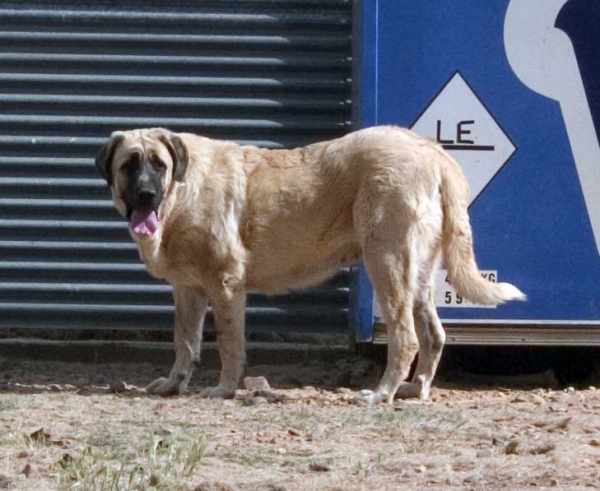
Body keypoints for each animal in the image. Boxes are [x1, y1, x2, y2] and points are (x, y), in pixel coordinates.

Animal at [96, 126, 524, 404]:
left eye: (158, 164)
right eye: (130, 164)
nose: (146, 195)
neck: (182, 191)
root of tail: (433, 151)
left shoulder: (225, 285)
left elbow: (230, 346)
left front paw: (224, 389)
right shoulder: (188, 291)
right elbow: (184, 342)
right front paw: (173, 384)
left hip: (387, 264)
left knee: (406, 338)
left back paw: (381, 393)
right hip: (416, 276)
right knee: (433, 335)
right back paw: (415, 390)